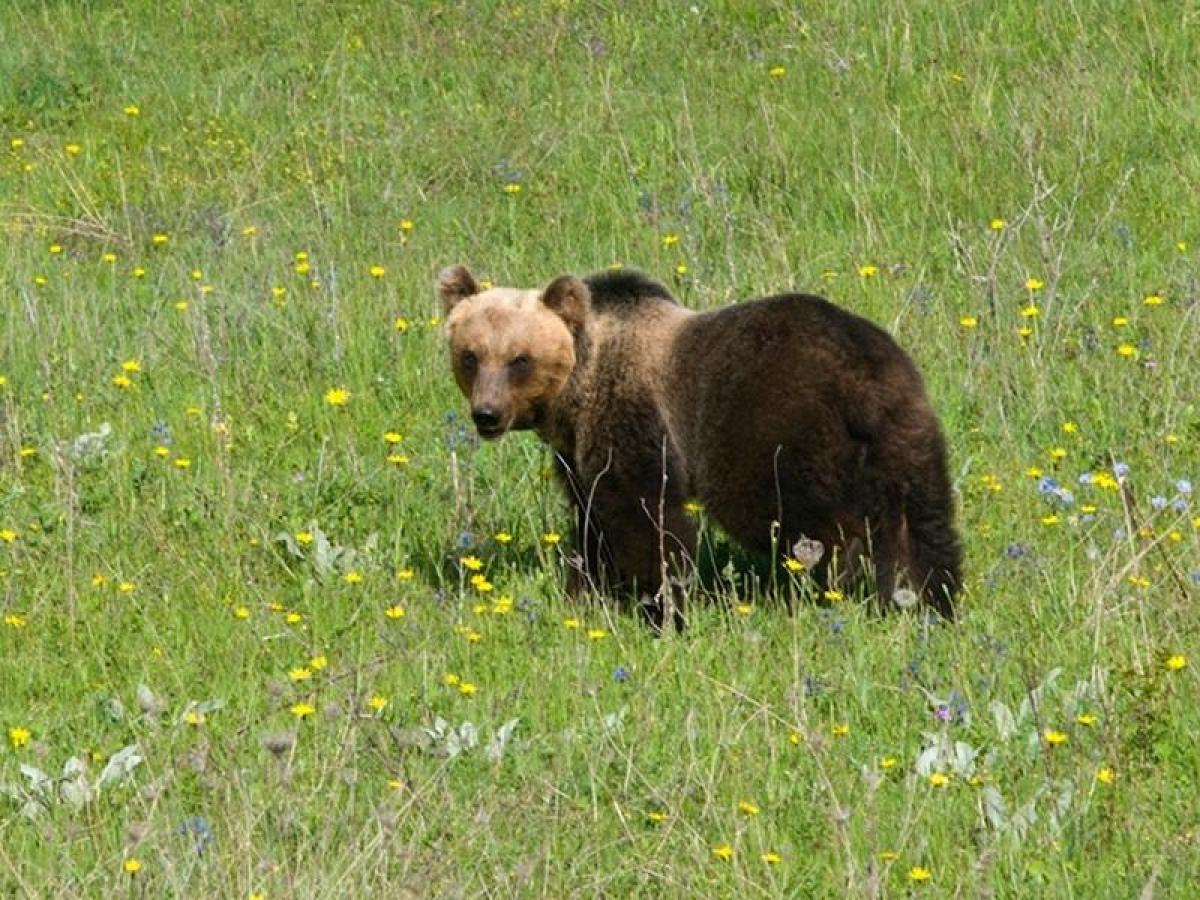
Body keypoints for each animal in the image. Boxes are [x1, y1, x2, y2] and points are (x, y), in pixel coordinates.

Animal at [436, 264, 960, 624]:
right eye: (470, 356)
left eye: (520, 359)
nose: (486, 414)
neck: (578, 389)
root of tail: (866, 380)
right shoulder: (577, 454)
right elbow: (590, 521)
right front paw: (585, 591)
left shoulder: (634, 420)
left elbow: (645, 517)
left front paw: (660, 605)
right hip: (906, 432)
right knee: (923, 524)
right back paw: (930, 598)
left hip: (776, 432)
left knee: (814, 522)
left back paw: (840, 588)